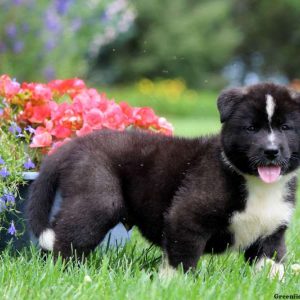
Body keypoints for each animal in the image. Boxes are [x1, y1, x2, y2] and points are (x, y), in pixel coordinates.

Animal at [26, 82, 300, 278]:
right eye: (251, 128)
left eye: (286, 128)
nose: (271, 151)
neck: (256, 184)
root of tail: (74, 145)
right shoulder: (185, 219)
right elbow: (182, 261)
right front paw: (176, 286)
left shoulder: (272, 232)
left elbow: (272, 265)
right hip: (97, 199)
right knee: (67, 238)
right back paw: (65, 275)